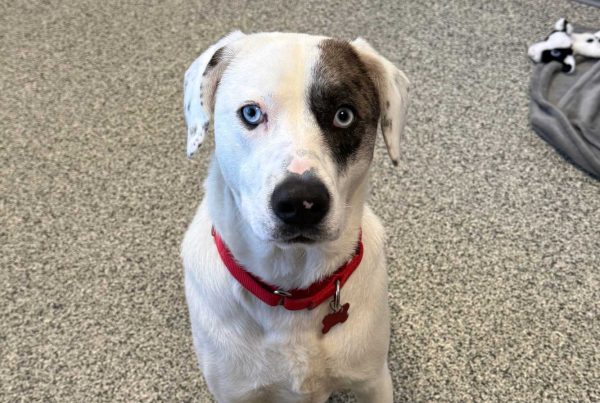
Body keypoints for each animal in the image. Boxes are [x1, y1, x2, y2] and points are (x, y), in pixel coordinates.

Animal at [181, 31, 409, 403]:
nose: (302, 202)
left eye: (343, 115)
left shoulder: (373, 381)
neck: (291, 288)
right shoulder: (235, 392)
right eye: (251, 113)